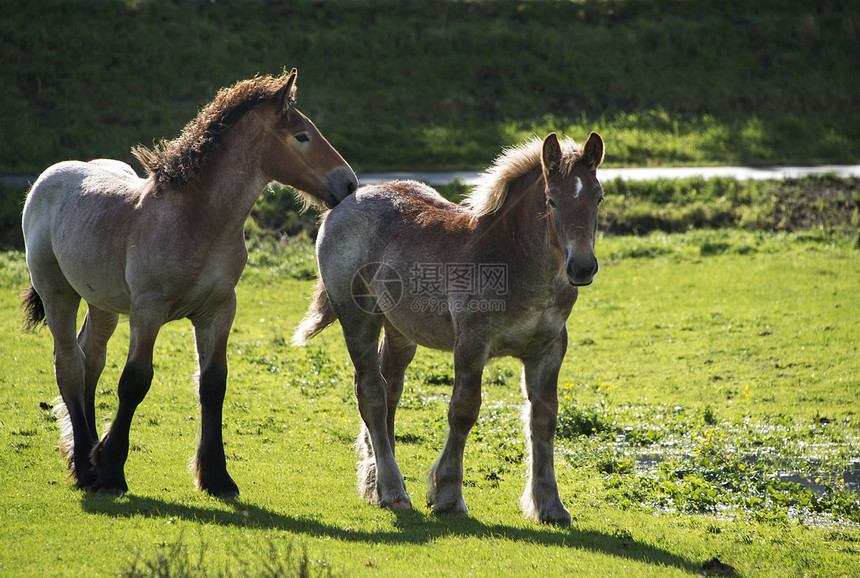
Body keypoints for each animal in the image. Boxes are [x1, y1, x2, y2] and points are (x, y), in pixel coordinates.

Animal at [23, 68, 358, 496]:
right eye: (302, 136)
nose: (348, 184)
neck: (197, 219)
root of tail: (48, 177)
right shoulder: (148, 309)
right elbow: (134, 381)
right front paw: (112, 470)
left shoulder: (219, 310)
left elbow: (213, 384)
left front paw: (217, 476)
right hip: (57, 291)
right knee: (68, 363)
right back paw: (85, 465)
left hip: (102, 302)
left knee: (90, 360)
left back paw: (86, 455)